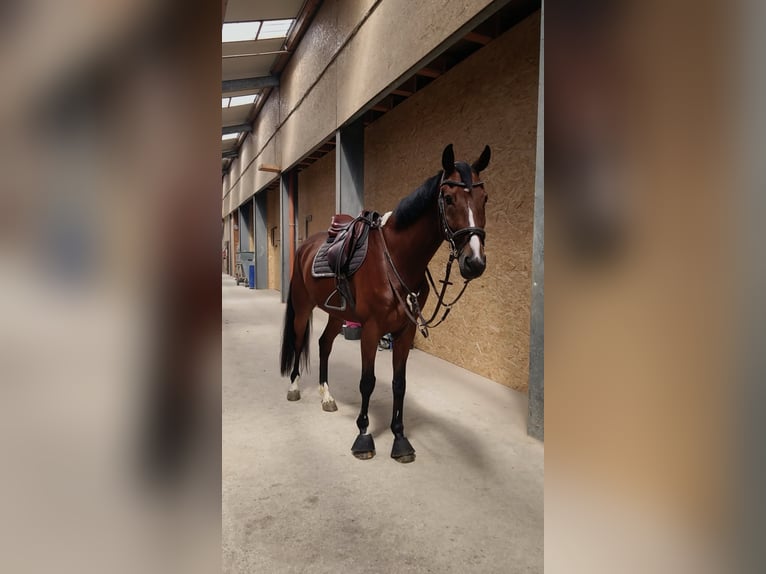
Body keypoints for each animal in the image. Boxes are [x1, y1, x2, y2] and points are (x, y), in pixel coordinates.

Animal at [279, 144, 491, 463]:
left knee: (324, 344)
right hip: (303, 308)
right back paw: (293, 387)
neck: (396, 260)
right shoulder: (371, 330)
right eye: (448, 198)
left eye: (484, 198)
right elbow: (368, 381)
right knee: (298, 340)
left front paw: (400, 439)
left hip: (337, 315)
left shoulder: (405, 331)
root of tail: (305, 246)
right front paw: (364, 436)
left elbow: (399, 384)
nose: (474, 262)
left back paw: (327, 396)